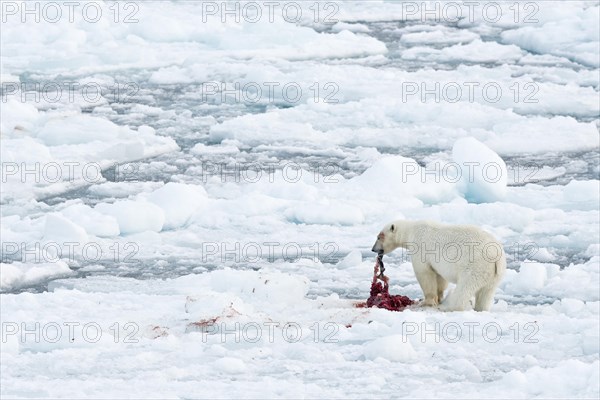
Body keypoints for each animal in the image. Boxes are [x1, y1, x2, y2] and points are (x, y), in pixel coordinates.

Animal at [372, 220, 504, 310]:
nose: (373, 249)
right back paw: (480, 309)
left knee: (464, 288)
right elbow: (439, 277)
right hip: (494, 273)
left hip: (475, 266)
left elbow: (425, 274)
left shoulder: (421, 248)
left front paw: (426, 301)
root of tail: (496, 255)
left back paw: (449, 307)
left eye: (379, 237)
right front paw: (439, 298)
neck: (411, 231)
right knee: (486, 293)